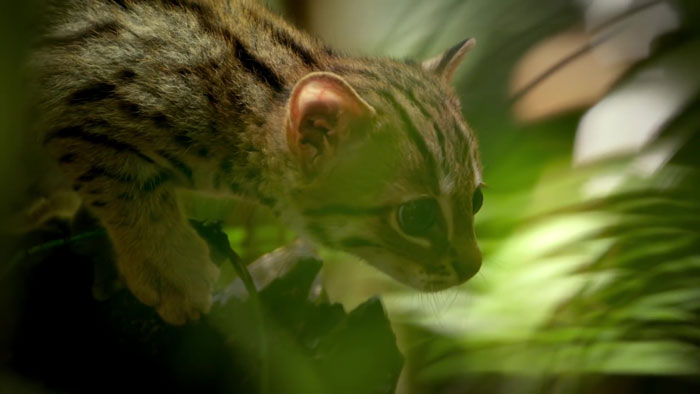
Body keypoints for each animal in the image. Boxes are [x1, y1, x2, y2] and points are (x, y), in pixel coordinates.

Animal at [30, 0, 484, 324]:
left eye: (476, 199)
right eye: (417, 216)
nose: (474, 266)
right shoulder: (74, 95)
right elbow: (123, 182)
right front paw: (170, 271)